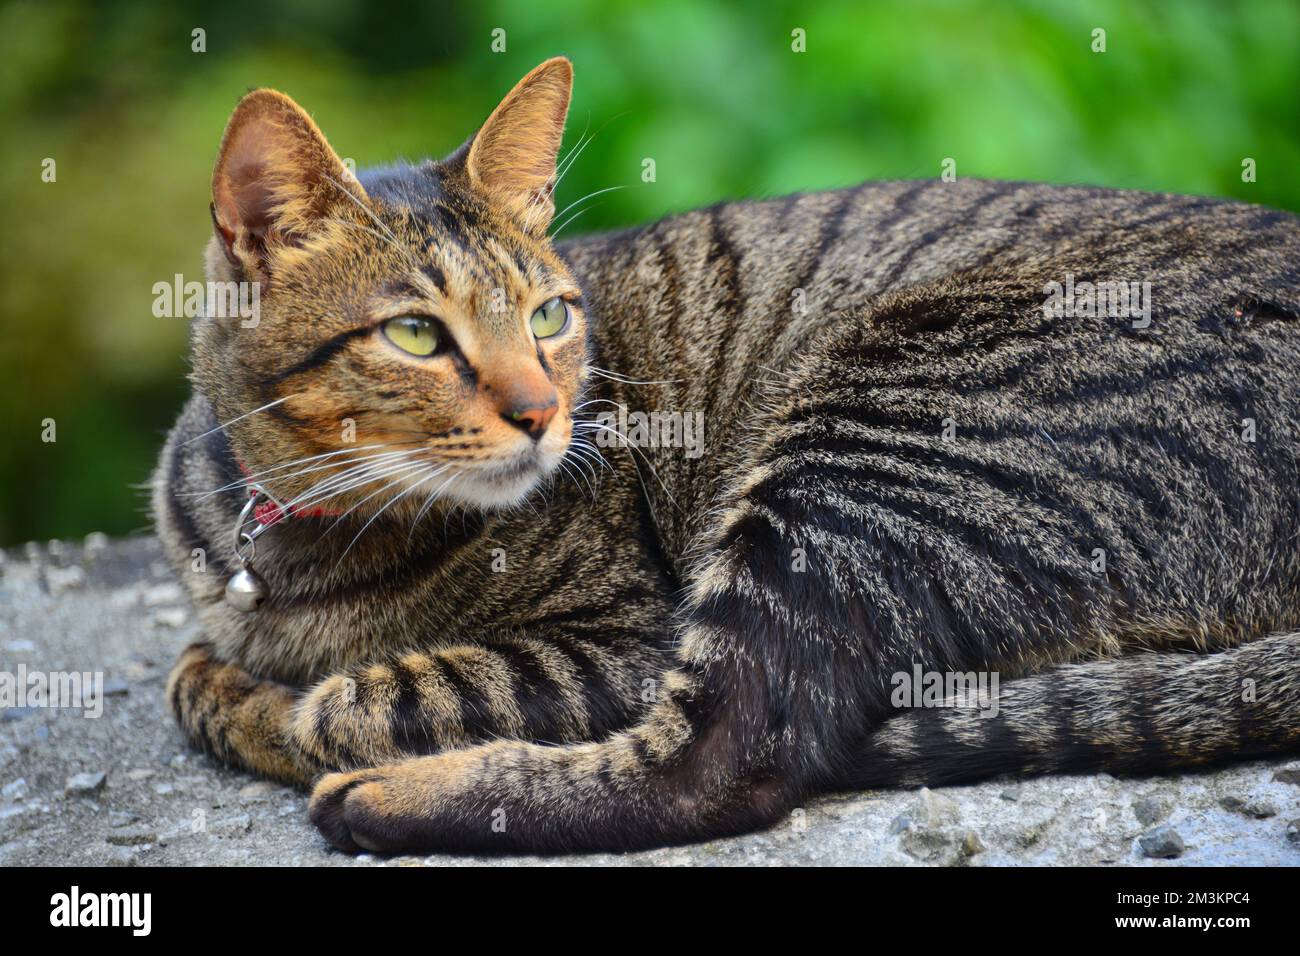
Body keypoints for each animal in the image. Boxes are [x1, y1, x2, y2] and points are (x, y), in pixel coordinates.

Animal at [154, 55, 1300, 858]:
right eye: (415, 336)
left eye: (550, 316)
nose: (543, 411)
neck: (299, 537)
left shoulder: (623, 640)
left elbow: (351, 698)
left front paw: (258, 694)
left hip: (865, 446)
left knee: (727, 761)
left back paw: (387, 800)